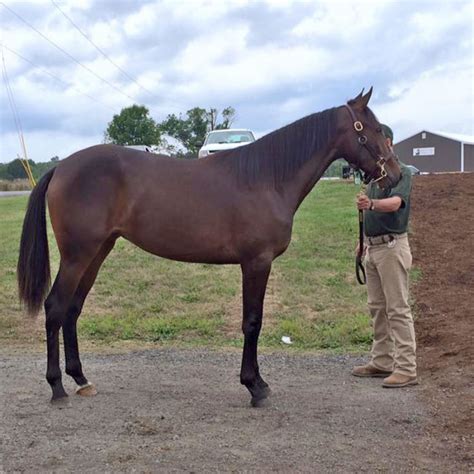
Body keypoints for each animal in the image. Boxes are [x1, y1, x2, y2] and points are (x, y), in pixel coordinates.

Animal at [16, 87, 400, 406]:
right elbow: (252, 322)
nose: (394, 175)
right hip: (78, 255)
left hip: (97, 252)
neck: (266, 178)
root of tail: (61, 168)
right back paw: (57, 387)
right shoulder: (256, 262)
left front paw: (257, 382)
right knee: (55, 307)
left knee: (72, 309)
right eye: (374, 130)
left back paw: (81, 380)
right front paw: (255, 386)